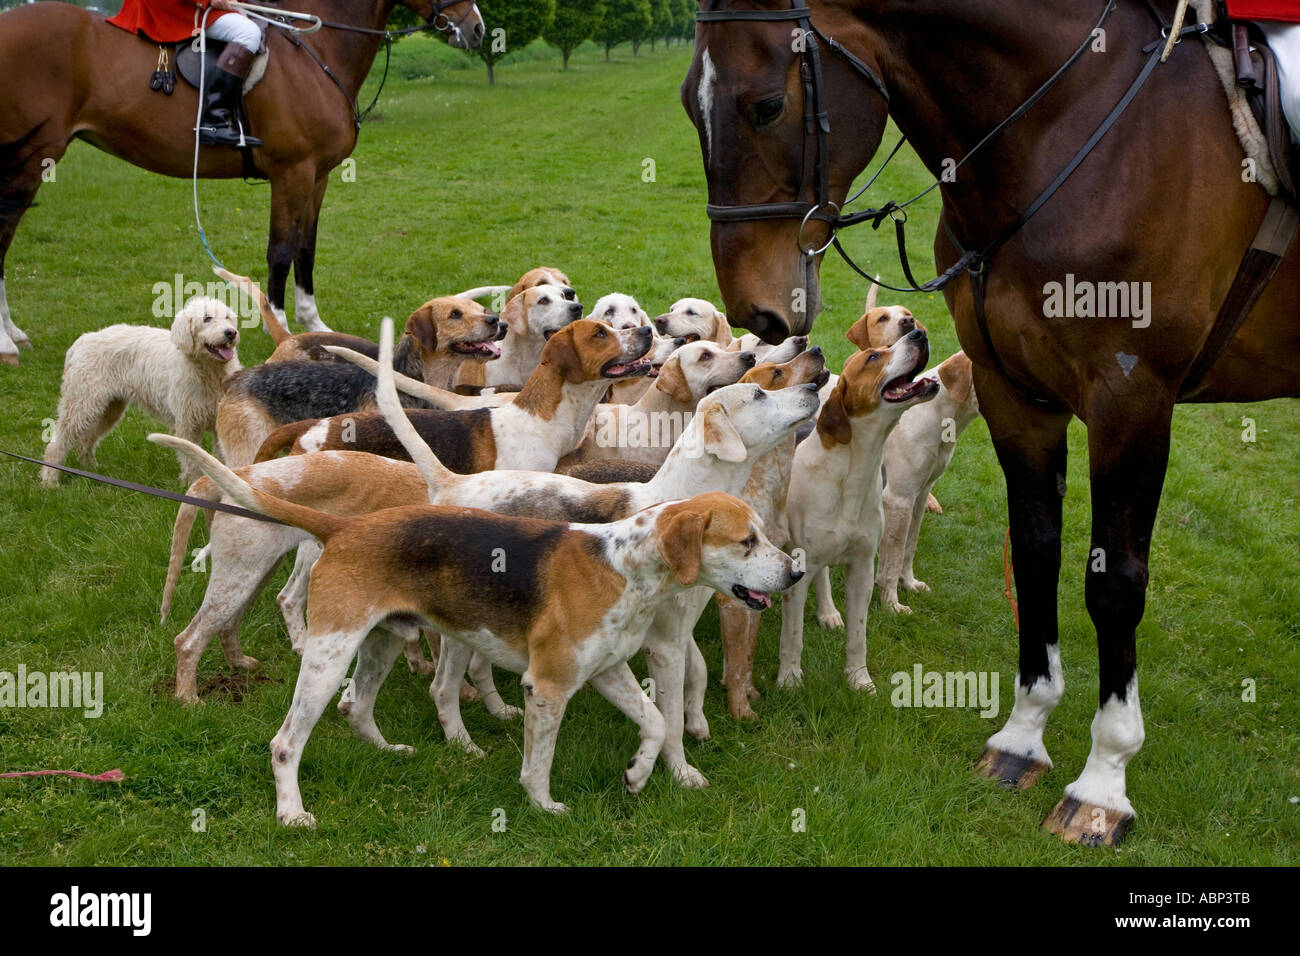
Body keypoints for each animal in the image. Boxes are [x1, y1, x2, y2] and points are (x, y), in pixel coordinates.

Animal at [0, 0, 483, 366]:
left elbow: (306, 249)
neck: (316, 51)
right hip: (30, 160)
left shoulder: (318, 175)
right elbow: (281, 252)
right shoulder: (292, 172)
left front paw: (315, 325)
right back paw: (7, 341)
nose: (476, 28)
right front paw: (282, 329)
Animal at [40, 297, 241, 486]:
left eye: (228, 317)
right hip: (81, 404)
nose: (231, 332)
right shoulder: (187, 424)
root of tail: (81, 341)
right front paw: (192, 482)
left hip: (109, 409)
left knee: (86, 440)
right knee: (57, 443)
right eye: (207, 318)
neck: (209, 372)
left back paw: (91, 469)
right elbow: (191, 460)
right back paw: (50, 480)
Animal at [686, 0, 1300, 848]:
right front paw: (1022, 738)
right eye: (690, 102)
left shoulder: (1131, 399)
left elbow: (1115, 585)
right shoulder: (1019, 397)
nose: (760, 312)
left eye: (766, 105)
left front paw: (1102, 783)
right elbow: (1036, 553)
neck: (1067, 124)